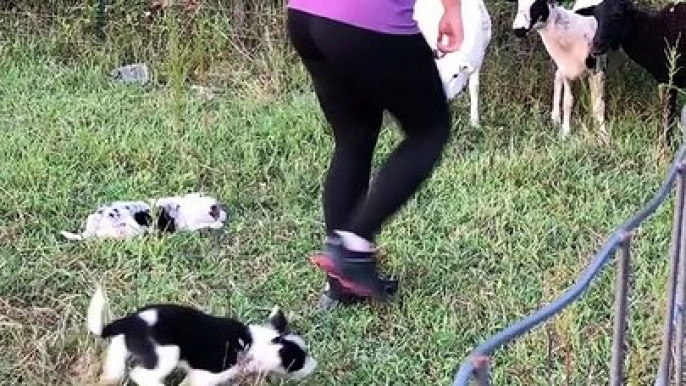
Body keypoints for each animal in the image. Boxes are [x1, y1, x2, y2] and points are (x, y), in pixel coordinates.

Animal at [59, 193, 226, 241]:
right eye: (220, 210)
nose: (226, 213)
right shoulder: (190, 226)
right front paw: (219, 224)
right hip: (126, 230)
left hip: (93, 217)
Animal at [85, 284, 318, 386]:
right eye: (300, 361)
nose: (316, 365)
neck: (253, 344)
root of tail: (133, 322)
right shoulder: (206, 376)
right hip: (168, 353)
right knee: (140, 375)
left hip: (121, 347)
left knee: (114, 365)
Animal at [510, 0, 612, 137]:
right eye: (518, 3)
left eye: (537, 4)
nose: (518, 30)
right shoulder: (566, 69)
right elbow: (568, 101)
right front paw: (565, 132)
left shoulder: (597, 70)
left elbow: (598, 103)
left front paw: (602, 132)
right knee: (557, 77)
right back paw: (555, 118)